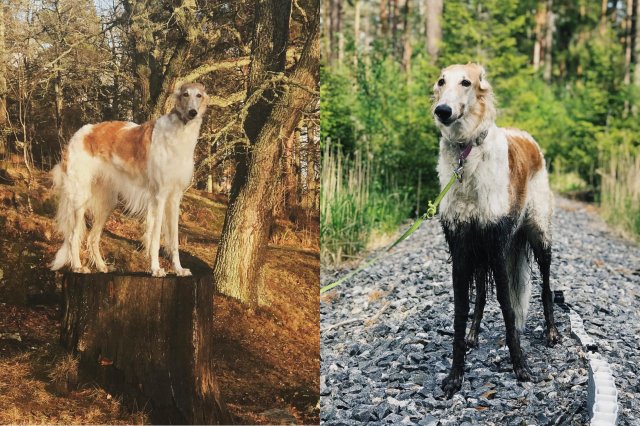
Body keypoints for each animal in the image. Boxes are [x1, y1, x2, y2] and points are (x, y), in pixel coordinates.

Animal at [52, 82, 210, 278]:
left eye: (199, 95)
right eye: (185, 94)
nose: (192, 113)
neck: (180, 133)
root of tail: (78, 134)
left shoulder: (175, 197)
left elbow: (174, 240)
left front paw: (179, 269)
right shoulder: (159, 196)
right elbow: (155, 238)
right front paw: (156, 268)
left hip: (108, 202)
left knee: (92, 237)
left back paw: (102, 266)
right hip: (80, 198)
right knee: (73, 236)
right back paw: (77, 266)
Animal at [430, 64, 560, 400]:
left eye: (466, 82)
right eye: (441, 82)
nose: (442, 111)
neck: (466, 155)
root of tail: (527, 137)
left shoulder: (498, 245)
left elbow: (508, 307)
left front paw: (520, 366)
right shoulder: (462, 248)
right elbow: (462, 310)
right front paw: (455, 375)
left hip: (539, 234)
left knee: (546, 287)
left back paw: (552, 331)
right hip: (480, 253)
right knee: (480, 297)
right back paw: (474, 334)